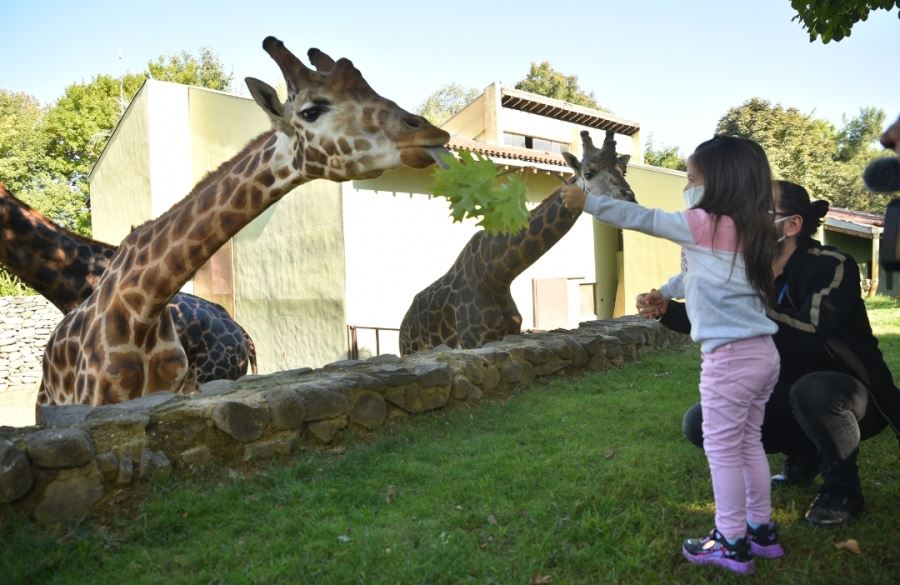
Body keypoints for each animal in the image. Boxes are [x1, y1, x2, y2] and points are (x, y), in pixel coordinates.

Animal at [400, 130, 632, 354]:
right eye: (589, 173)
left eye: (623, 170)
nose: (630, 198)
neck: (496, 277)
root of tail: (404, 324)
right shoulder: (473, 340)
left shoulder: (510, 332)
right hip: (409, 349)